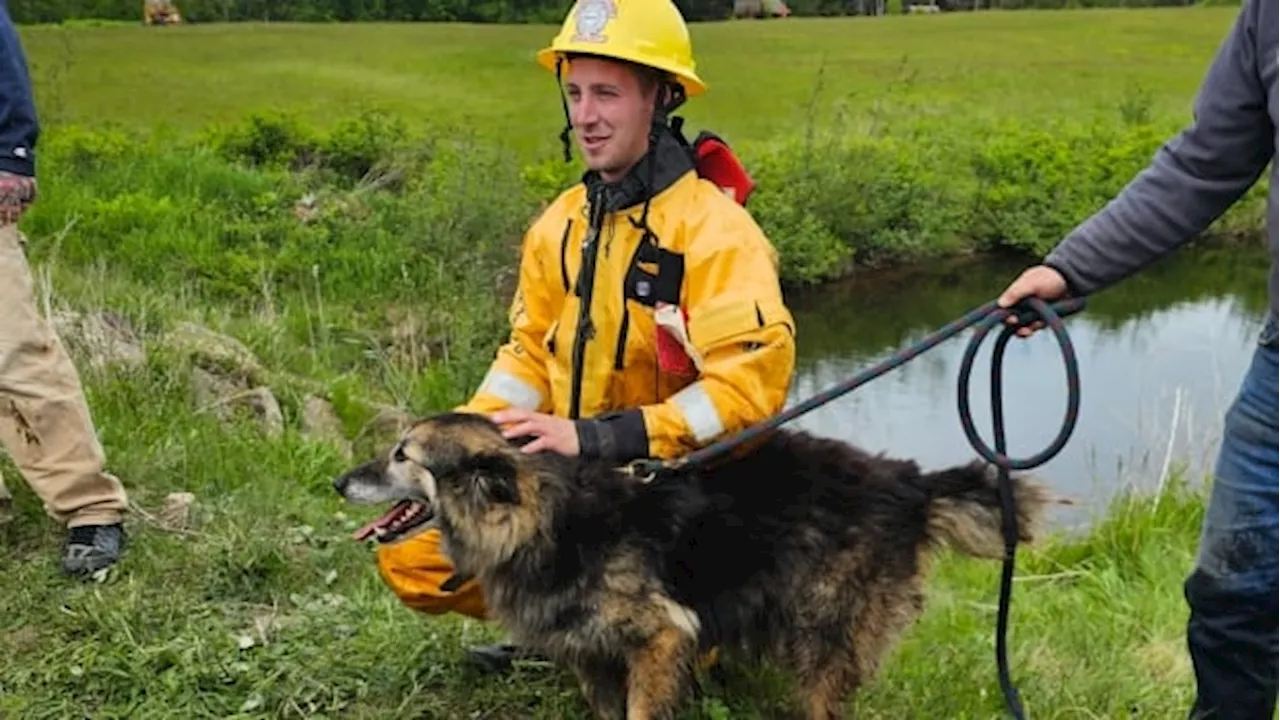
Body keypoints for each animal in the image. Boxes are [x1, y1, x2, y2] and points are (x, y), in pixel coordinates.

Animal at [335, 409, 1064, 717]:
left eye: (403, 456)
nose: (339, 481)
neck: (540, 522)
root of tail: (910, 480)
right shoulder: (589, 652)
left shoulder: (661, 639)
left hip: (825, 628)